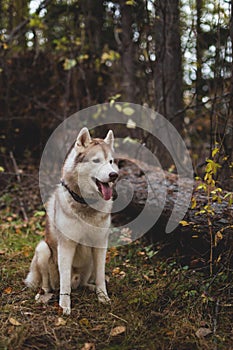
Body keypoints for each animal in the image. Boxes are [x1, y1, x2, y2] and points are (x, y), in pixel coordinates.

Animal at [25, 128, 118, 314]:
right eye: (96, 161)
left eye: (111, 161)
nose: (114, 175)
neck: (86, 205)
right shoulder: (66, 245)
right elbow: (65, 281)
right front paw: (64, 306)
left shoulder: (100, 243)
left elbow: (100, 276)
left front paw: (103, 297)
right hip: (43, 249)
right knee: (49, 283)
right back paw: (44, 294)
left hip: (89, 262)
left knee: (82, 282)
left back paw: (89, 287)